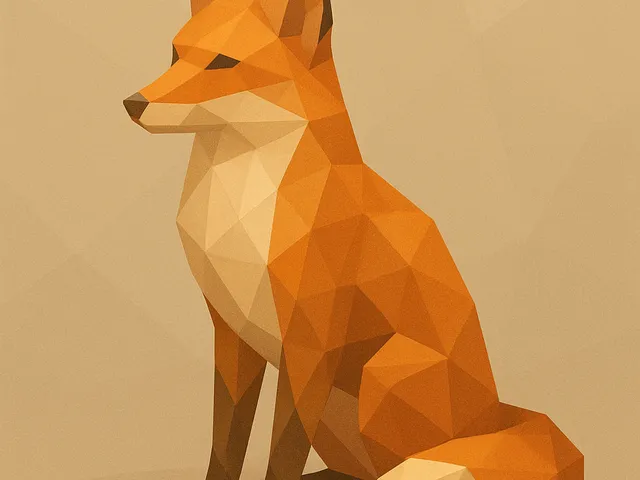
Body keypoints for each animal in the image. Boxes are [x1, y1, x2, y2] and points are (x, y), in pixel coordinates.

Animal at [123, 0, 584, 479]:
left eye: (222, 63)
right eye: (174, 55)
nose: (133, 103)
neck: (240, 216)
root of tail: (494, 417)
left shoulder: (310, 349)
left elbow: (282, 454)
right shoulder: (232, 336)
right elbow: (225, 447)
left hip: (376, 377)